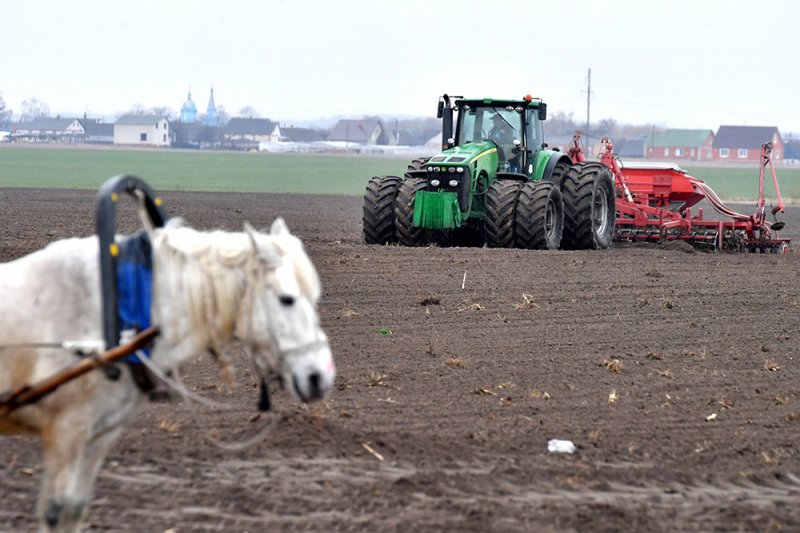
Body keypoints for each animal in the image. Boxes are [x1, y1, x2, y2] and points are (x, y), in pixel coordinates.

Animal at [0, 217, 334, 532]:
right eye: (286, 299)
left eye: (315, 296)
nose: (320, 376)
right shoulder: (65, 431)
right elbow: (55, 512)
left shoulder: (100, 433)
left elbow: (74, 509)